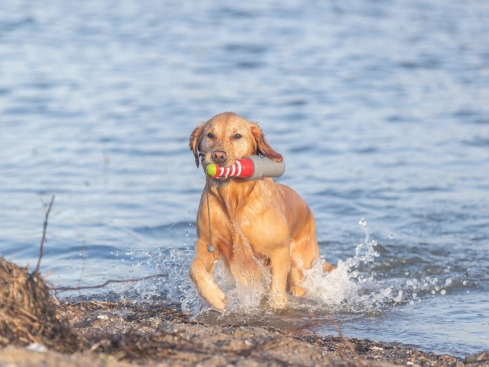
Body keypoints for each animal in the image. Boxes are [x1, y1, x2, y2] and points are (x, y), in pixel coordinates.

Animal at [189, 111, 334, 310]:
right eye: (210, 135)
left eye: (237, 136)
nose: (218, 156)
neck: (234, 202)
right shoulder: (206, 242)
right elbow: (194, 268)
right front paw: (214, 296)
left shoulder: (278, 250)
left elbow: (277, 291)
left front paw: (277, 304)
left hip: (300, 268)